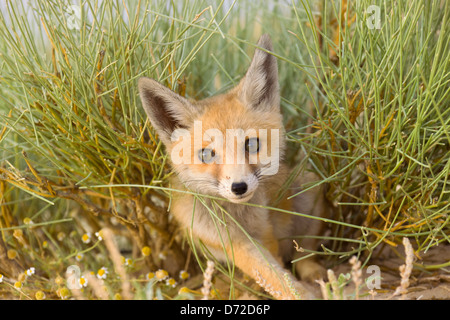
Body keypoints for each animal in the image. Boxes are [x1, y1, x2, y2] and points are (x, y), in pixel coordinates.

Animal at [139, 33, 328, 298]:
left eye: (251, 144)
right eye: (207, 154)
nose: (239, 187)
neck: (242, 217)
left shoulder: (266, 234)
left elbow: (278, 271)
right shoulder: (233, 242)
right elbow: (271, 275)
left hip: (308, 187)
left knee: (305, 252)